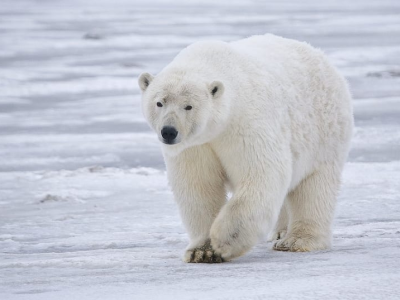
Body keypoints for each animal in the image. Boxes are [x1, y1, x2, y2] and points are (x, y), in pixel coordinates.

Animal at [138, 34, 354, 262]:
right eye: (159, 102)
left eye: (189, 106)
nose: (169, 131)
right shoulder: (195, 146)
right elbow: (199, 186)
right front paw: (201, 251)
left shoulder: (245, 123)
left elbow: (262, 173)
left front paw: (223, 241)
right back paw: (280, 231)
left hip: (324, 132)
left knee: (314, 187)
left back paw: (296, 241)